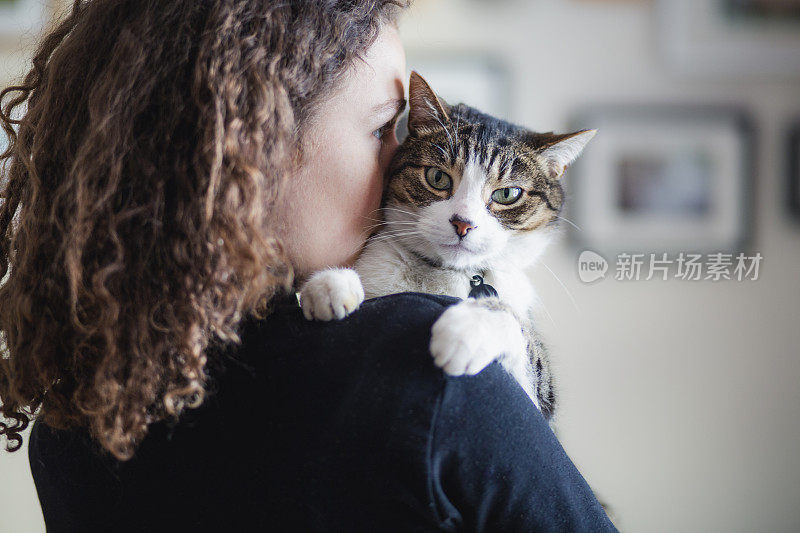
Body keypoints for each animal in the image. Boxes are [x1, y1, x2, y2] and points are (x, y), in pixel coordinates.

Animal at [300, 71, 592, 420]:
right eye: (437, 177)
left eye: (507, 194)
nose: (463, 223)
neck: (446, 274)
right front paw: (330, 286)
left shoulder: (541, 399)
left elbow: (522, 341)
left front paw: (468, 329)